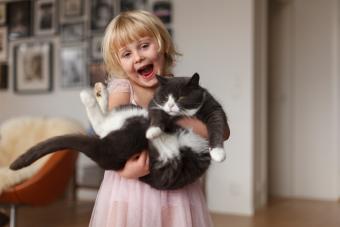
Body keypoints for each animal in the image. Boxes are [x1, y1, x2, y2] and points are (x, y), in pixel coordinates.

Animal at [10, 73, 228, 190]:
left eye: (181, 97)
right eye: (166, 97)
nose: (172, 106)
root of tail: (101, 151)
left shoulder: (213, 109)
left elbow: (219, 126)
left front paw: (218, 153)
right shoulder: (154, 107)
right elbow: (157, 116)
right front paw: (155, 130)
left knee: (102, 124)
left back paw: (95, 94)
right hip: (136, 116)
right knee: (103, 123)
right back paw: (95, 93)